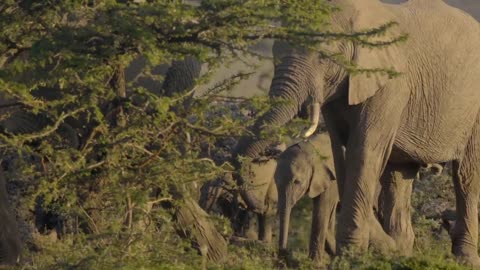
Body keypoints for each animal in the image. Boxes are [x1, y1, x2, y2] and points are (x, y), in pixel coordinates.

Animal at [274, 133, 338, 264]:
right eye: (275, 182)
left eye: (297, 182)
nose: (284, 253)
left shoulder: (331, 180)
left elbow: (321, 213)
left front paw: (314, 263)